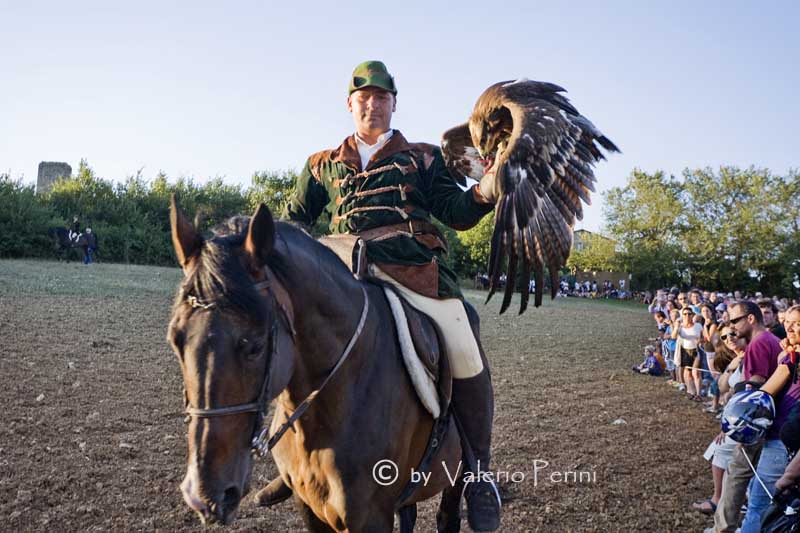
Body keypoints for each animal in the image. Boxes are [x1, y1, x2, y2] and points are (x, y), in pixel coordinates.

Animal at [167, 198, 488, 528]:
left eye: (254, 346)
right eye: (175, 340)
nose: (205, 496)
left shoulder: (371, 517)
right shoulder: (308, 506)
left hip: (455, 477)